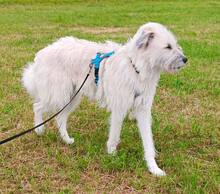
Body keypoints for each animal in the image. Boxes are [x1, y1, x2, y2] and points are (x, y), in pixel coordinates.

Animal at [21, 22, 187, 176]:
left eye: (174, 44)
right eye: (168, 47)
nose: (185, 59)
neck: (135, 67)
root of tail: (44, 52)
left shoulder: (143, 110)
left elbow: (148, 142)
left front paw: (153, 168)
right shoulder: (119, 109)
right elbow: (114, 134)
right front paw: (112, 155)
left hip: (71, 98)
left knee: (60, 117)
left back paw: (66, 140)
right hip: (58, 96)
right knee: (38, 106)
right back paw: (39, 130)